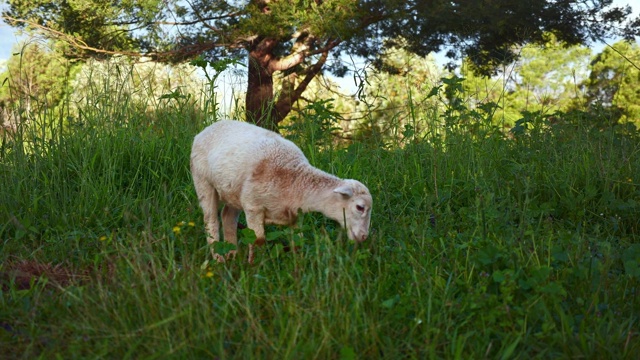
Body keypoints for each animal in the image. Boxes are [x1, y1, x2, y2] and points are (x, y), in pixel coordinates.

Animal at [190, 119, 372, 262]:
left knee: (228, 217)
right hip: (202, 180)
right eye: (360, 207)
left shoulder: (295, 217)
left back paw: (232, 254)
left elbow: (298, 243)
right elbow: (258, 241)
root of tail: (208, 128)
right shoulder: (253, 207)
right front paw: (254, 269)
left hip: (234, 190)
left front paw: (298, 267)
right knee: (211, 221)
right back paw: (218, 259)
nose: (364, 237)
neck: (295, 181)